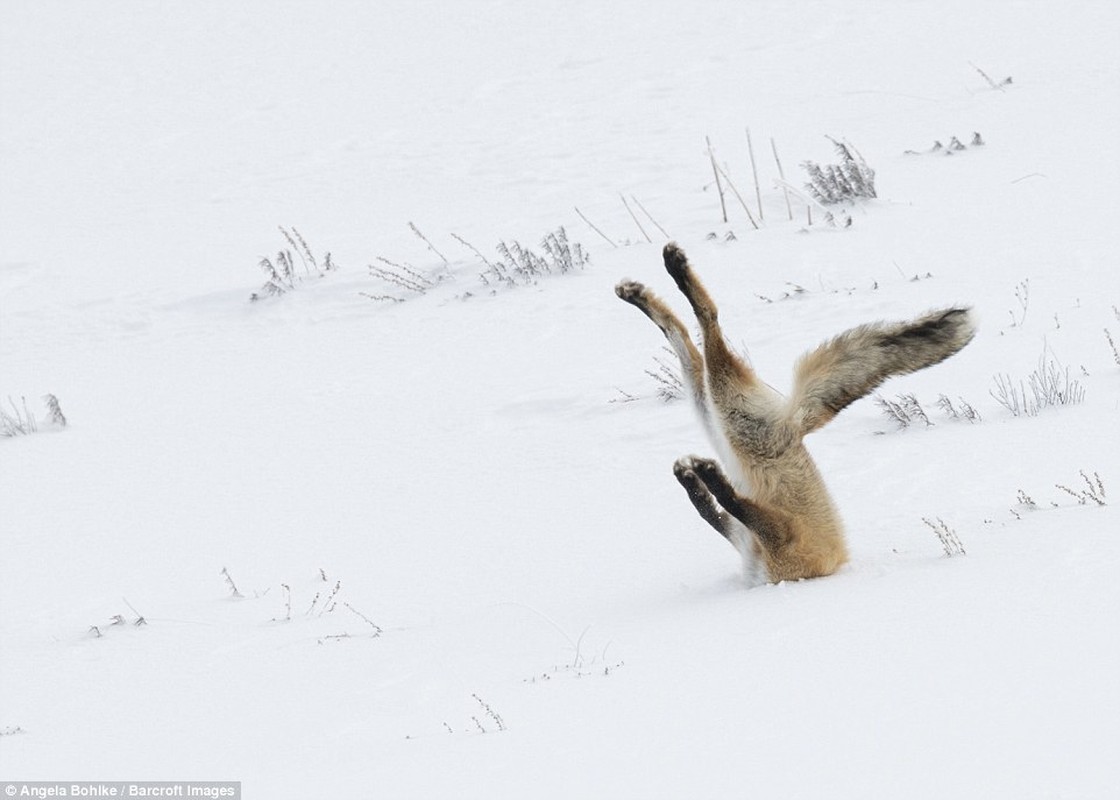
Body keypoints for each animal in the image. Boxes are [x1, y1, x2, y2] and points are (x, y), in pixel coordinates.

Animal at [618, 239, 976, 582]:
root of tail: (795, 423)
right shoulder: (749, 537)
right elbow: (711, 509)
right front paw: (694, 477)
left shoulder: (779, 539)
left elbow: (728, 503)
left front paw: (704, 475)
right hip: (715, 410)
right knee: (683, 335)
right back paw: (641, 291)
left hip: (727, 412)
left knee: (708, 322)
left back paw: (672, 272)